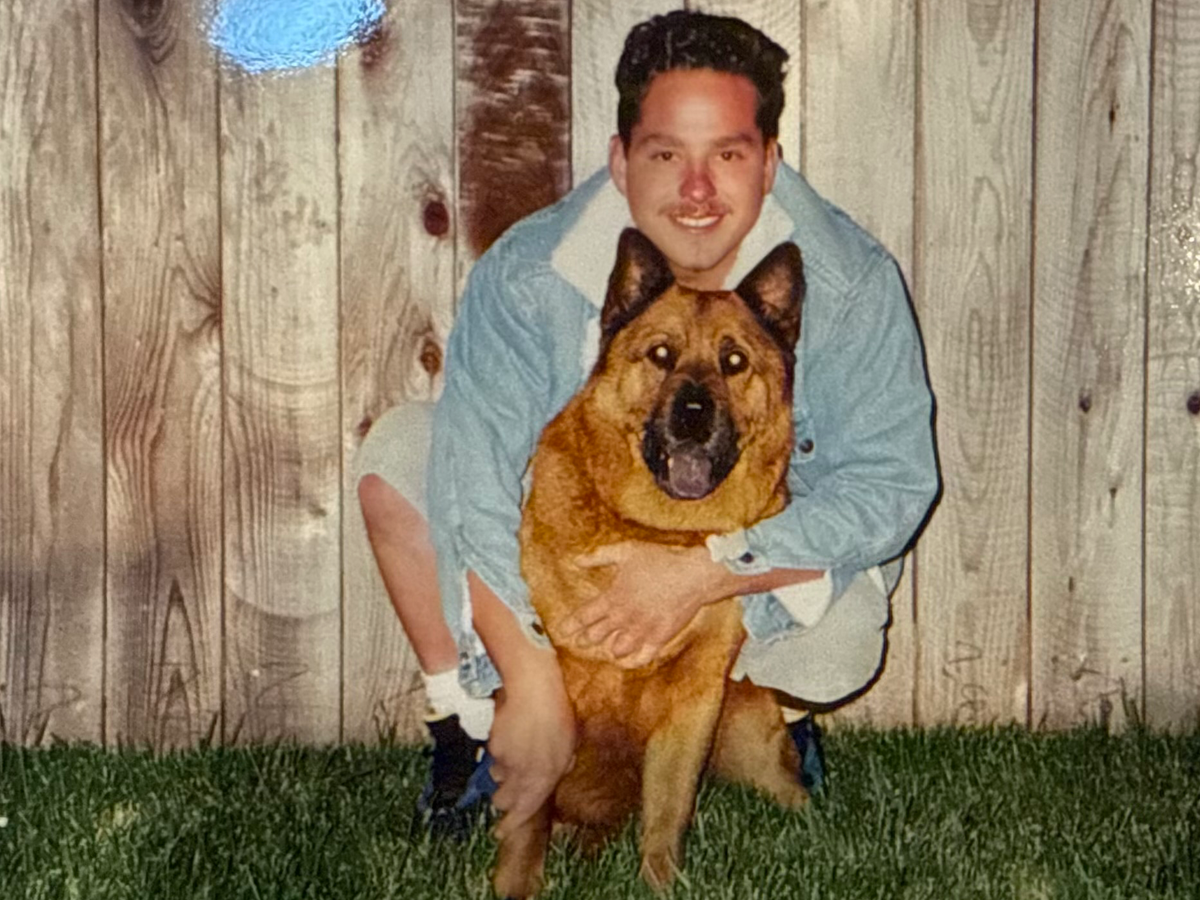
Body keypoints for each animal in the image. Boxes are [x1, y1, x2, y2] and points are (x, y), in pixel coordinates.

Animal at [495, 228, 807, 898]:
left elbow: (668, 808)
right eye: (661, 355)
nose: (693, 412)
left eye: (734, 362)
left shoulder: (694, 700)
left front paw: (661, 881)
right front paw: (517, 882)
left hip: (750, 740)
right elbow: (528, 818)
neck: (658, 532)